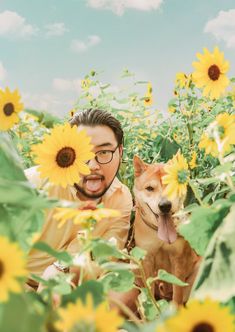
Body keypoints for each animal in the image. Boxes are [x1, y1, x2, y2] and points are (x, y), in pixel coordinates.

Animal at [132, 154, 200, 304]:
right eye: (149, 188)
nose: (165, 205)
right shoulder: (146, 259)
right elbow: (150, 290)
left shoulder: (178, 259)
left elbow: (178, 293)